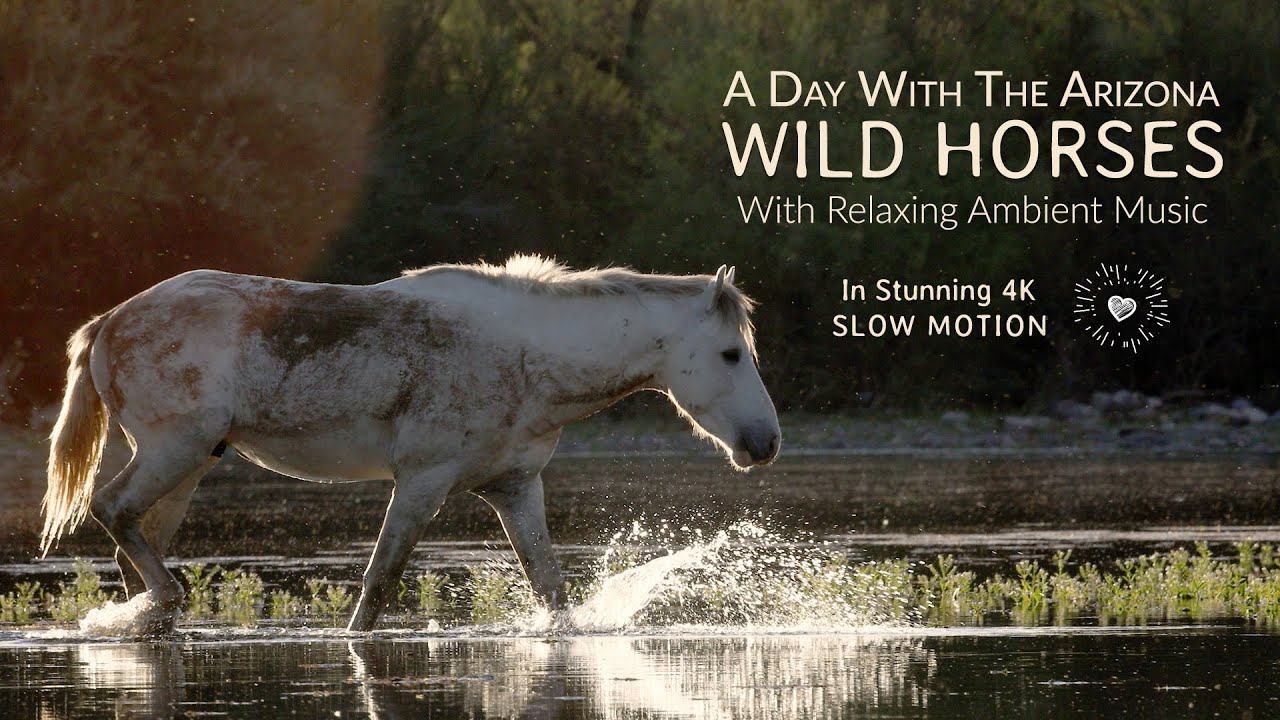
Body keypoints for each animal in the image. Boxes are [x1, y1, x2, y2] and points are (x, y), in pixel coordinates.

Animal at [40, 255, 780, 633]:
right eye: (730, 354)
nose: (765, 443)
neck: (526, 357)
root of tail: (110, 321)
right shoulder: (423, 481)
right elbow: (379, 585)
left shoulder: (514, 488)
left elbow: (550, 588)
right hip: (175, 450)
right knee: (113, 511)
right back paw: (165, 600)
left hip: (191, 464)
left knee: (132, 537)